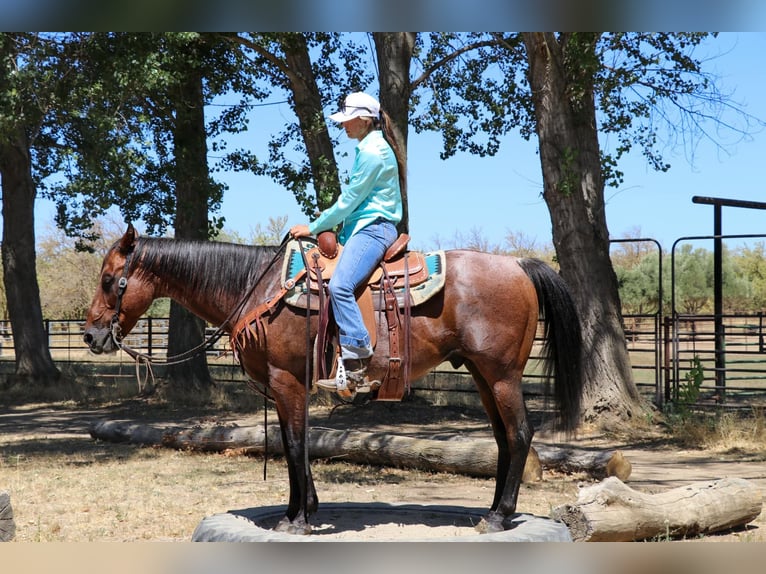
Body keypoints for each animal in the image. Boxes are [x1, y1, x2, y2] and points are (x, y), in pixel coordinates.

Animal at [84, 224, 584, 536]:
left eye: (110, 279)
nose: (90, 335)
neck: (258, 287)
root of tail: (518, 265)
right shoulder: (282, 387)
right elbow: (293, 443)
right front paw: (297, 511)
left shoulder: (288, 382)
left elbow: (293, 443)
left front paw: (299, 518)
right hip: (482, 375)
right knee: (502, 440)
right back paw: (493, 511)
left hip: (502, 375)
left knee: (519, 435)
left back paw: (500, 517)